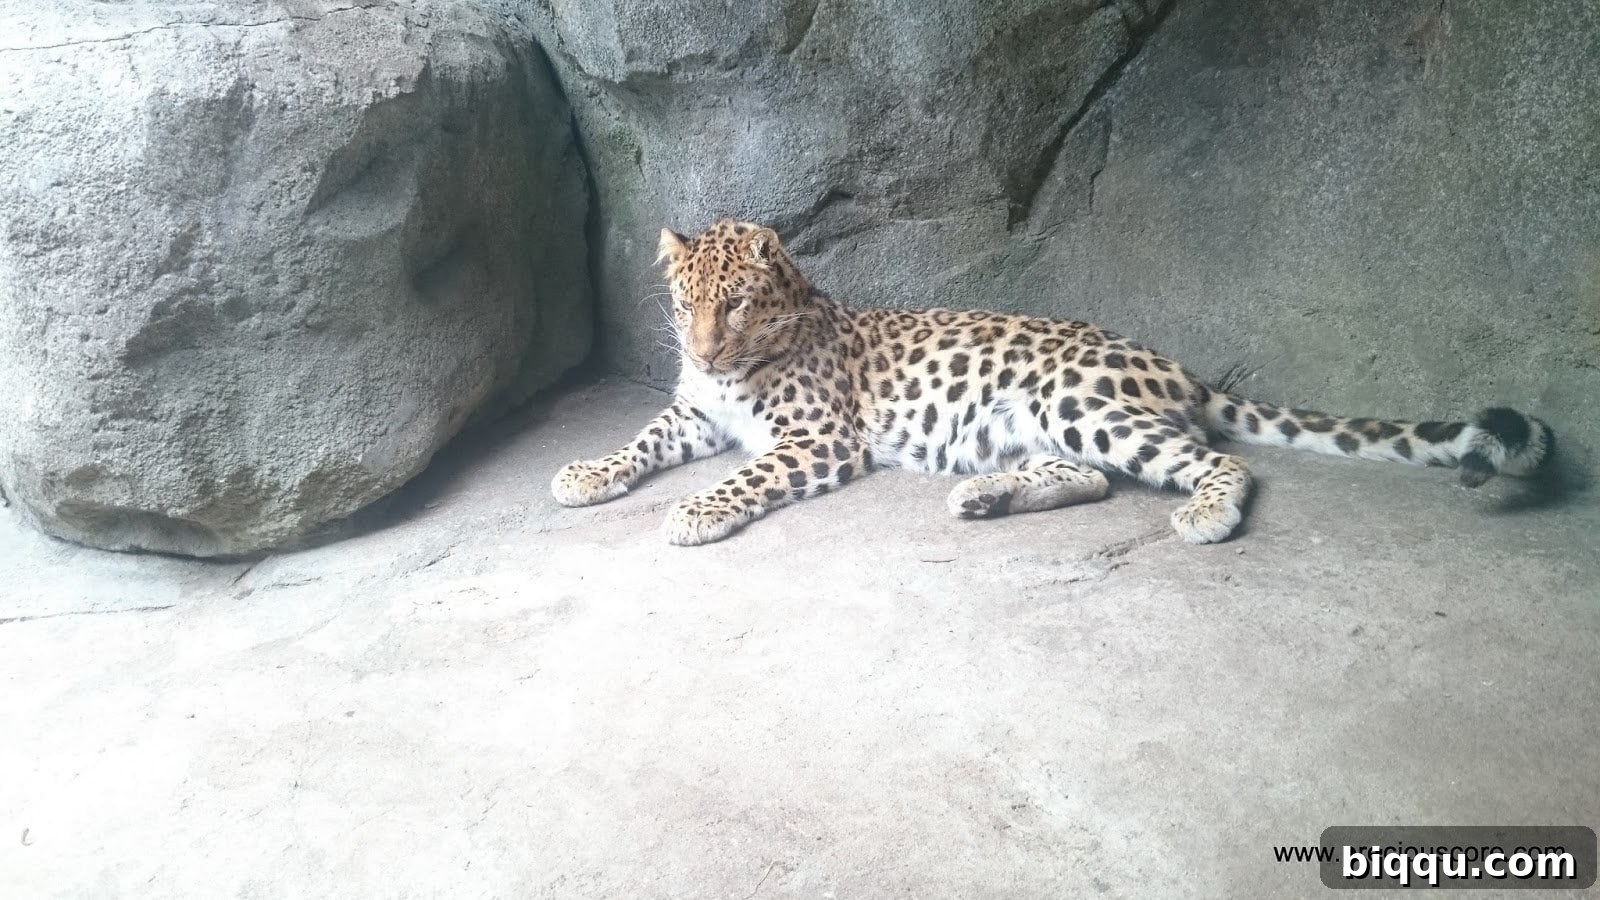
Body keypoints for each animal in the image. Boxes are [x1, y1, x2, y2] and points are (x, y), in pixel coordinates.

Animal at [551, 219, 1555, 546]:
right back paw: (985, 496)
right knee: (1094, 477)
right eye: (685, 305)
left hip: (1071, 397)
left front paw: (696, 510)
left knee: (1213, 461)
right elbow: (642, 438)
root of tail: (1178, 367)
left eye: (739, 305)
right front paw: (585, 473)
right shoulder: (695, 414)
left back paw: (1207, 516)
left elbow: (748, 472)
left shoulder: (817, 436)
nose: (708, 352)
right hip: (1037, 422)